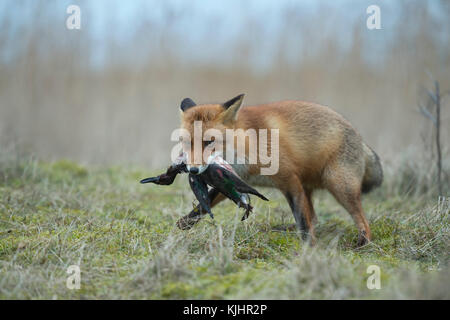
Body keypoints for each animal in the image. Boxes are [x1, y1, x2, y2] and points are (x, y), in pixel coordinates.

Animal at [176, 94, 384, 246]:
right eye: (186, 142)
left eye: (209, 142)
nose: (192, 170)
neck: (247, 145)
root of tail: (360, 138)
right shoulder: (234, 180)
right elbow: (204, 204)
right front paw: (183, 223)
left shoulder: (289, 180)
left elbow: (303, 220)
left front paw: (309, 248)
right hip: (309, 187)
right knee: (315, 218)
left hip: (339, 185)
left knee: (361, 219)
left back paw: (363, 243)